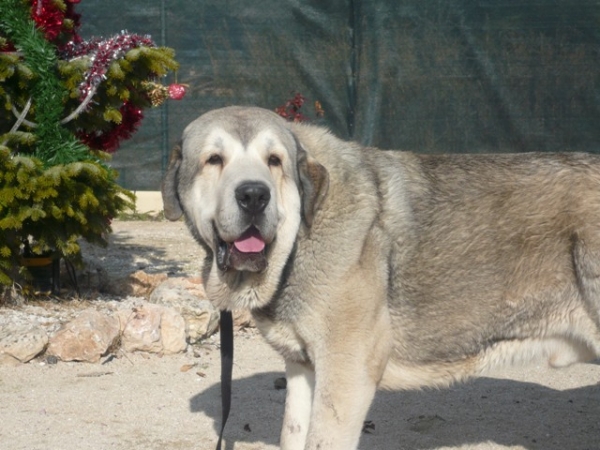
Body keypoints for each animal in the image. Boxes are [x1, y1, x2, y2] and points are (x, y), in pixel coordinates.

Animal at [162, 106, 600, 450]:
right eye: (214, 160)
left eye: (274, 161)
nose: (254, 195)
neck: (302, 233)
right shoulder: (303, 369)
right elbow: (294, 434)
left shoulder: (347, 375)